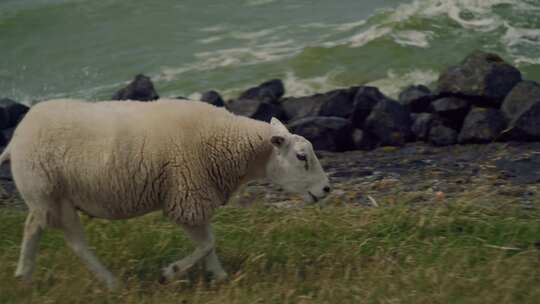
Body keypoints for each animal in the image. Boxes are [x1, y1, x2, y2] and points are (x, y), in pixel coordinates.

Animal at [2, 100, 332, 290]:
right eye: (302, 156)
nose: (327, 189)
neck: (230, 146)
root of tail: (16, 136)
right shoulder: (186, 196)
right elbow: (207, 244)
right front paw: (169, 273)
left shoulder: (197, 196)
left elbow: (208, 244)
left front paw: (220, 278)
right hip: (47, 192)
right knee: (57, 237)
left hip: (54, 198)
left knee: (53, 235)